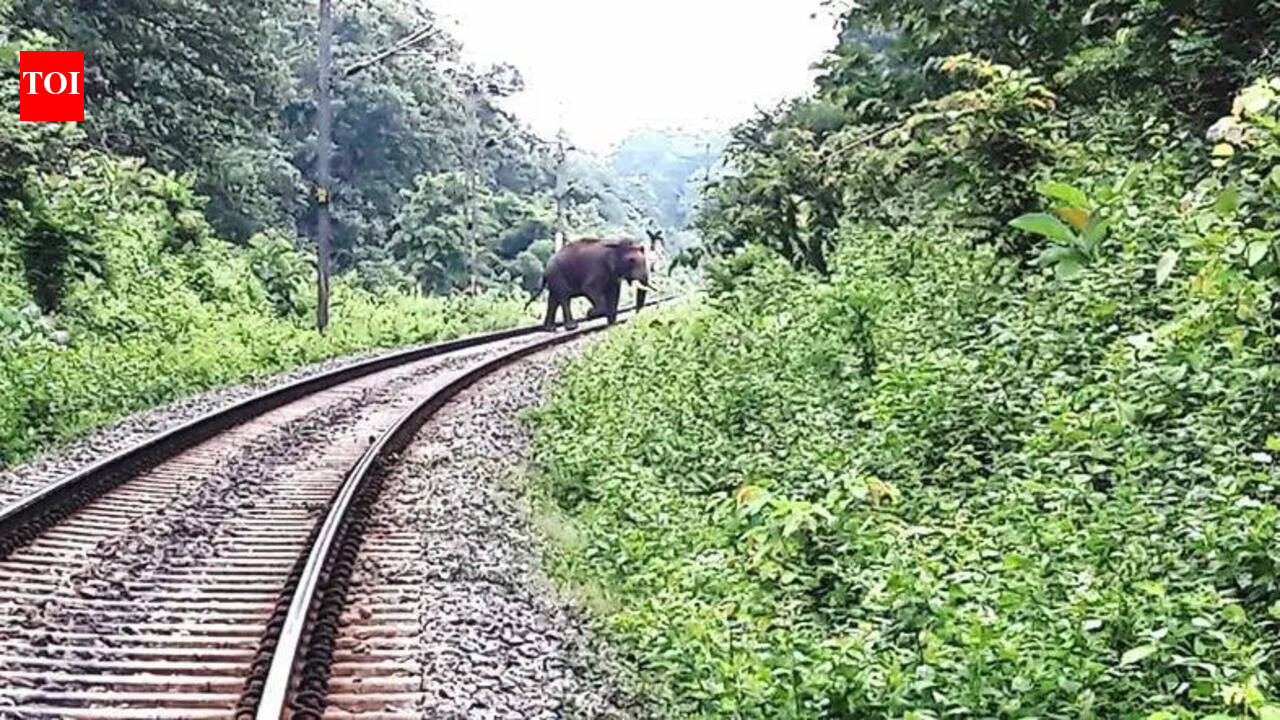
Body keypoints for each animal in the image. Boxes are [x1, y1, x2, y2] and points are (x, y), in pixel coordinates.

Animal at [525, 239, 654, 330]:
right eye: (631, 261)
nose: (637, 315)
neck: (616, 243)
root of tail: (545, 270)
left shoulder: (612, 276)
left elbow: (614, 294)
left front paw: (612, 324)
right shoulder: (597, 270)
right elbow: (590, 289)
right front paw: (590, 314)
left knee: (553, 301)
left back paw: (550, 328)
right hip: (558, 277)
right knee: (564, 298)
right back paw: (571, 326)